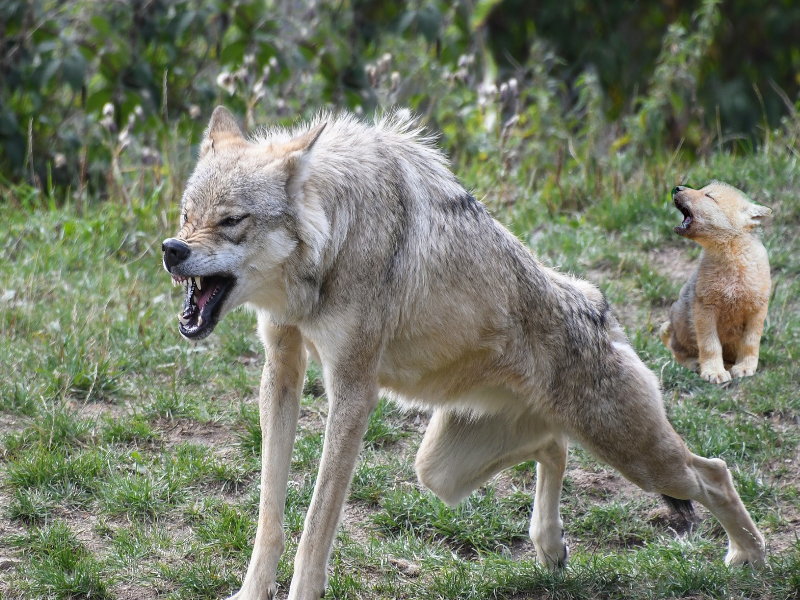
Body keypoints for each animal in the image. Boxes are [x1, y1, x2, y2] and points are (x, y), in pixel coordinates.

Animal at [660, 180, 772, 382]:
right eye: (703, 190)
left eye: (708, 196)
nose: (678, 188)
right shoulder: (705, 308)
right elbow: (710, 344)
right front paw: (714, 372)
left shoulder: (757, 308)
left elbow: (750, 342)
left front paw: (745, 367)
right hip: (678, 323)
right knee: (676, 350)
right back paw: (695, 364)